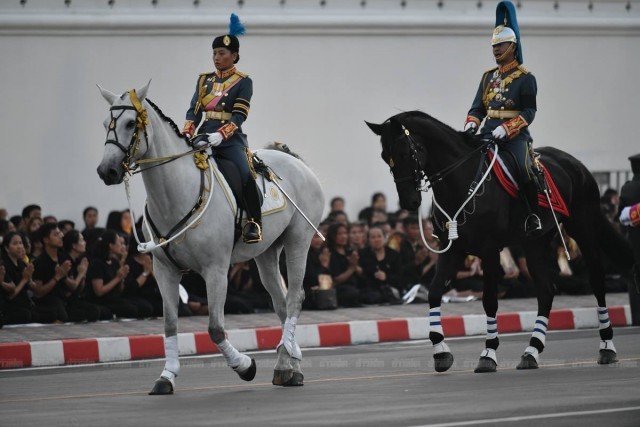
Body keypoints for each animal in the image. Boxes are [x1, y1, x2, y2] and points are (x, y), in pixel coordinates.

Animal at [95, 81, 324, 394]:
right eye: (106, 123)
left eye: (131, 123)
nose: (106, 171)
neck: (176, 193)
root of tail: (296, 162)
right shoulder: (164, 270)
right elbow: (169, 324)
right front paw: (166, 376)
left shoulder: (215, 270)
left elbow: (215, 328)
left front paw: (245, 366)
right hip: (266, 252)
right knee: (280, 302)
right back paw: (288, 366)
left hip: (297, 240)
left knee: (294, 299)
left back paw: (287, 358)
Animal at [368, 111, 632, 374]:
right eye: (385, 157)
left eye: (405, 152)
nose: (409, 202)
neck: (461, 182)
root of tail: (576, 164)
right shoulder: (451, 249)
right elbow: (433, 292)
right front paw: (441, 351)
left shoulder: (489, 250)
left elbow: (489, 301)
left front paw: (488, 354)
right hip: (535, 243)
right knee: (546, 290)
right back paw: (531, 351)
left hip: (583, 228)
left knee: (596, 282)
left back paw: (607, 347)